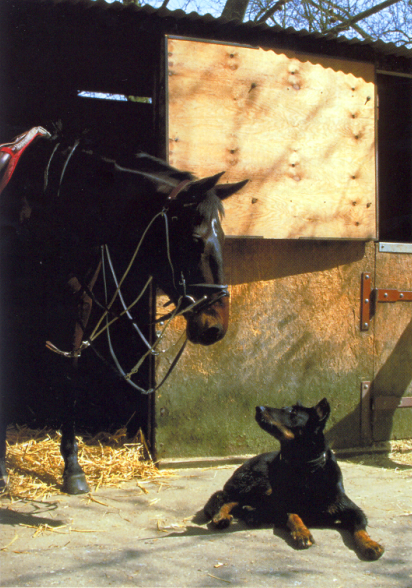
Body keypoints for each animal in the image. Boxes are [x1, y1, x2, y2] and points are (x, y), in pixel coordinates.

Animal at [0, 127, 248, 492]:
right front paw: (2, 469)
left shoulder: (78, 300)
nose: (215, 326)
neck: (48, 204)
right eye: (194, 239)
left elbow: (70, 369)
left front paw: (72, 467)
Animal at [204, 400, 384, 560]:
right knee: (227, 499)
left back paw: (252, 514)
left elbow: (360, 529)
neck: (305, 468)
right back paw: (222, 515)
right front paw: (302, 532)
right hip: (260, 481)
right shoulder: (283, 503)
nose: (258, 407)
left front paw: (369, 544)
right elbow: (293, 515)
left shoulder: (352, 509)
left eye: (292, 412)